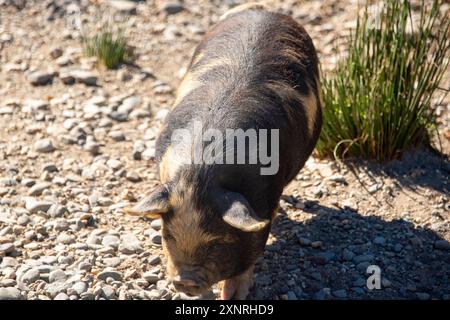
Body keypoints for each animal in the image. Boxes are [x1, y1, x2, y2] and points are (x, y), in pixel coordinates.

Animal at [126, 4, 322, 300]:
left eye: (217, 240)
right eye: (167, 235)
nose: (185, 281)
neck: (200, 173)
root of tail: (262, 9)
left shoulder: (265, 200)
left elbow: (252, 249)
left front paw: (232, 295)